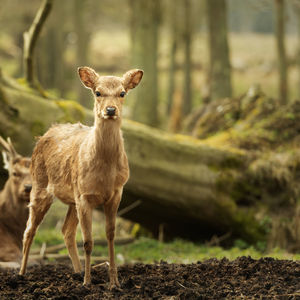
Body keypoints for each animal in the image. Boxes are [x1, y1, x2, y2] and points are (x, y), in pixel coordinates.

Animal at [19, 66, 144, 288]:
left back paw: (76, 272)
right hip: (40, 184)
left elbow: (110, 236)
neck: (105, 172)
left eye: (122, 93)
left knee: (66, 231)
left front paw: (114, 282)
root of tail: (44, 134)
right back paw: (22, 274)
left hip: (71, 198)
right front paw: (87, 283)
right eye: (98, 92)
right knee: (29, 230)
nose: (110, 110)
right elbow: (88, 241)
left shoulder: (116, 193)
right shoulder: (84, 195)